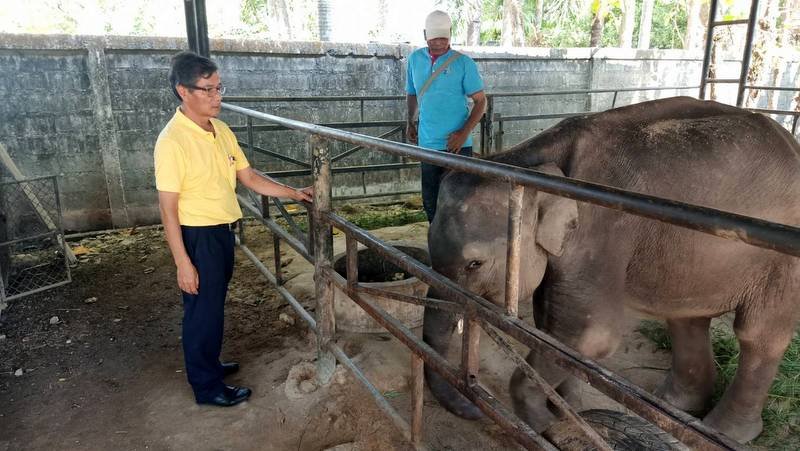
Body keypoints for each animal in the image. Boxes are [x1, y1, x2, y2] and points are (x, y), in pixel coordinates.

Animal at [422, 96, 796, 444]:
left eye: (475, 263)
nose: (471, 400)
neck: (524, 161)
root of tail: (791, 143)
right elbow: (556, 333)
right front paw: (565, 409)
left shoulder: (600, 228)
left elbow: (587, 337)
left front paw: (545, 428)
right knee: (686, 317)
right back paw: (675, 404)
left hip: (781, 260)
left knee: (757, 335)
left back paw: (723, 430)